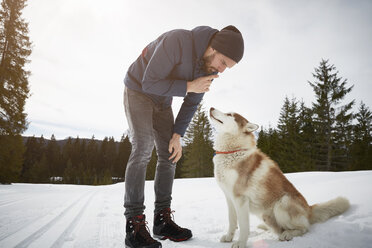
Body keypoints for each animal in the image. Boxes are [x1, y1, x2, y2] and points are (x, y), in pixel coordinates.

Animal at [211, 107, 350, 247]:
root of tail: (309, 209)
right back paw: (270, 229)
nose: (211, 108)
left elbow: (244, 226)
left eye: (229, 114)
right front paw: (229, 237)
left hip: (282, 203)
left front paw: (240, 243)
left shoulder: (240, 199)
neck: (233, 152)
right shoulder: (230, 198)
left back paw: (288, 234)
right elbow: (232, 221)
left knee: (304, 228)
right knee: (280, 228)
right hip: (265, 215)